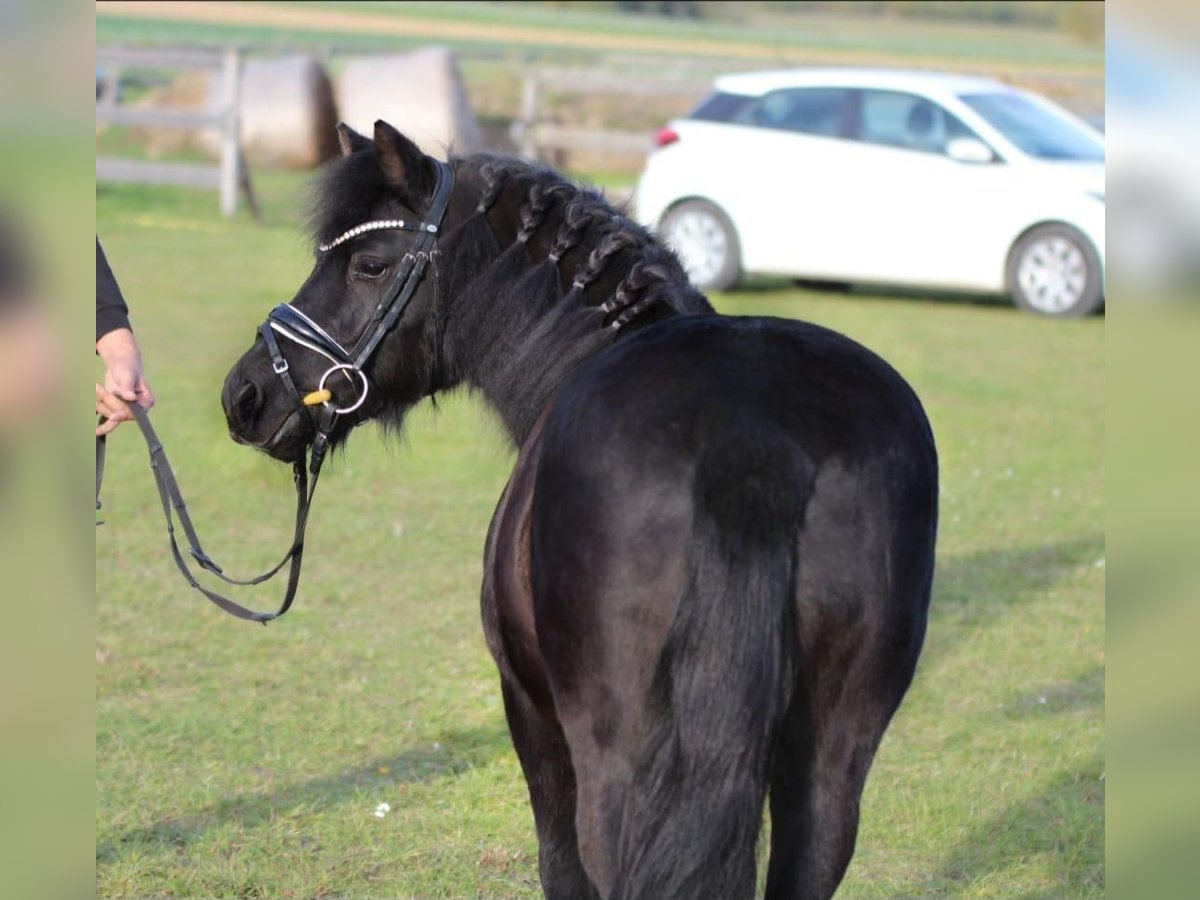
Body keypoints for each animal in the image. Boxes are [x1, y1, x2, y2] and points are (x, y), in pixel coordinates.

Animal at [221, 120, 938, 900]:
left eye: (370, 266)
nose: (246, 394)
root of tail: (753, 431)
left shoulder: (531, 710)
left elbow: (560, 862)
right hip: (832, 758)